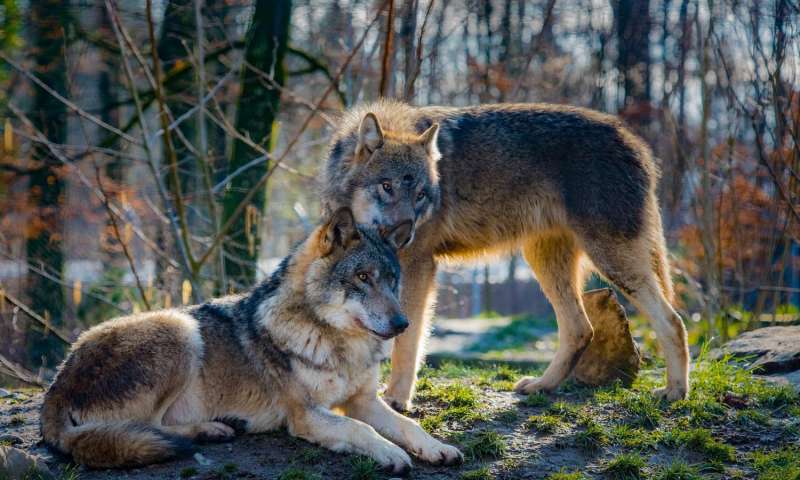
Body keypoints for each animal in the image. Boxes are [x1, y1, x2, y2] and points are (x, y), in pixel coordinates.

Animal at [40, 208, 462, 470]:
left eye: (391, 280)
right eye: (362, 277)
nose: (403, 323)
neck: (337, 343)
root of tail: (56, 384)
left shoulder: (363, 400)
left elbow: (408, 426)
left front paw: (437, 448)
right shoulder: (305, 415)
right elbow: (361, 430)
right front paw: (391, 455)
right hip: (180, 329)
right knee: (148, 427)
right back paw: (211, 429)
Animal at [322, 99, 692, 410]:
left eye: (421, 195)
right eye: (387, 186)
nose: (405, 233)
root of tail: (637, 143)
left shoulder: (418, 266)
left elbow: (407, 341)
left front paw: (397, 400)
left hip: (612, 261)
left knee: (673, 321)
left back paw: (675, 391)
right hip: (546, 262)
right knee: (580, 328)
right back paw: (542, 386)